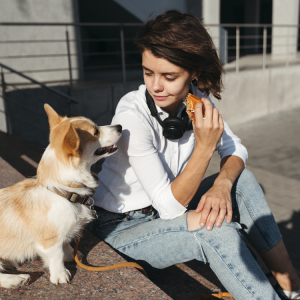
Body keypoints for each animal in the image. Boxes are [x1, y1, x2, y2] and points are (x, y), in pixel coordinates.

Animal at [0, 105, 122, 288]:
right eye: (95, 132)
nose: (120, 126)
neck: (64, 192)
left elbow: (66, 245)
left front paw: (71, 254)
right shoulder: (49, 241)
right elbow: (56, 255)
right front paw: (60, 274)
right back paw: (17, 279)